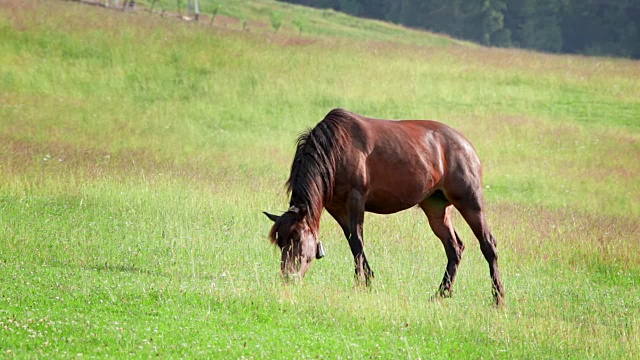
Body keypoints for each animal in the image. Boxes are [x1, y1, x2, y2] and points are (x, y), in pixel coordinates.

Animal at [264, 108, 504, 306]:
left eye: (297, 239)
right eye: (280, 242)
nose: (288, 278)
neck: (334, 150)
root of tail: (465, 145)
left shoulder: (356, 200)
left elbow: (357, 242)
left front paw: (360, 284)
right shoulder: (337, 209)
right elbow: (353, 244)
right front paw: (368, 281)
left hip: (470, 202)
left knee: (488, 244)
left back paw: (498, 297)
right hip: (435, 207)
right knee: (455, 248)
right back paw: (441, 294)